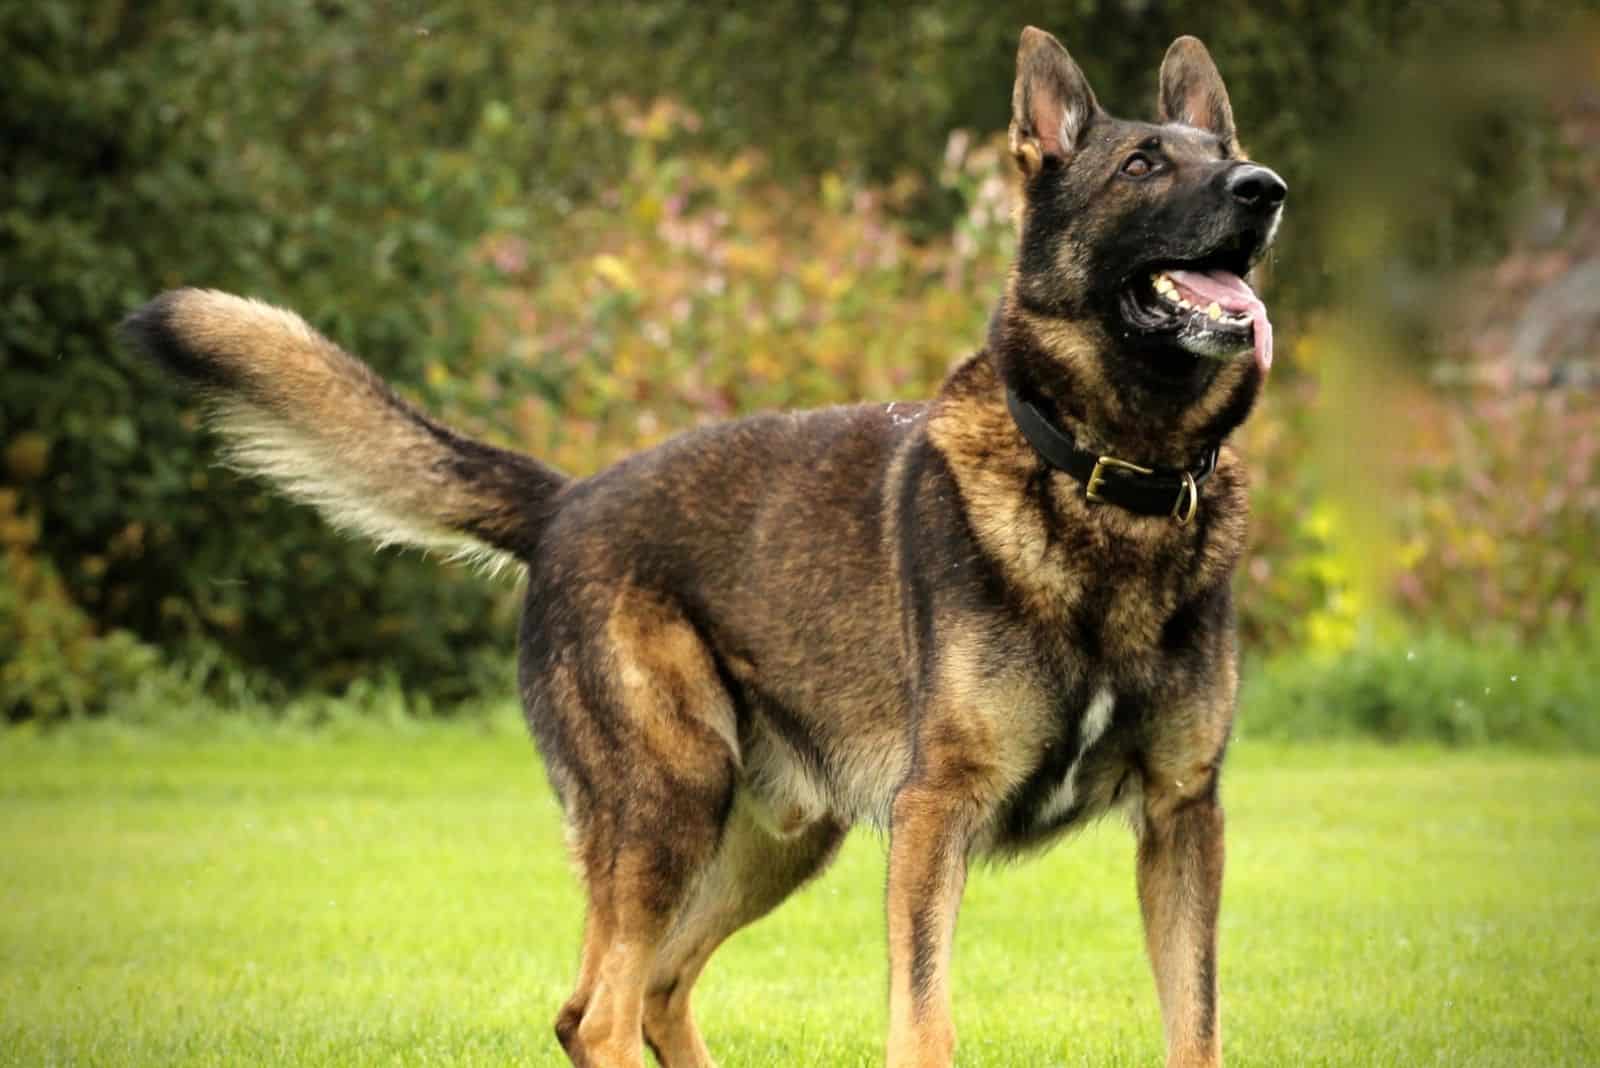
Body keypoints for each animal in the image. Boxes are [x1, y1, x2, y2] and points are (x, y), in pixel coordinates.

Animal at [121, 24, 1286, 1068]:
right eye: (1141, 164)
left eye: (1220, 153)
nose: (1263, 188)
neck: (1110, 478)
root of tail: (568, 502)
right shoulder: (935, 817)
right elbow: (925, 1025)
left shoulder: (1183, 819)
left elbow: (1198, 1028)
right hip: (668, 811)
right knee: (599, 1014)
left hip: (772, 837)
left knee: (645, 993)